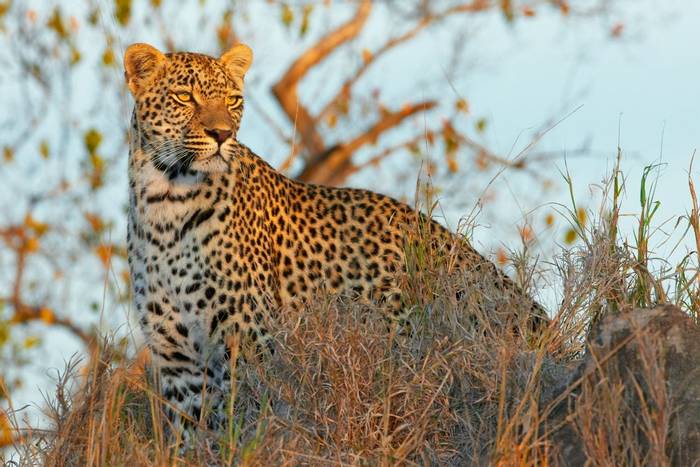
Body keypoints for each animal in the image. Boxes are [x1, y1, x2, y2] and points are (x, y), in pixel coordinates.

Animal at [124, 41, 548, 442]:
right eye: (184, 97)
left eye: (232, 101)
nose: (221, 134)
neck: (167, 200)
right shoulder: (176, 359)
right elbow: (190, 435)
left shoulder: (249, 340)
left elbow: (244, 422)